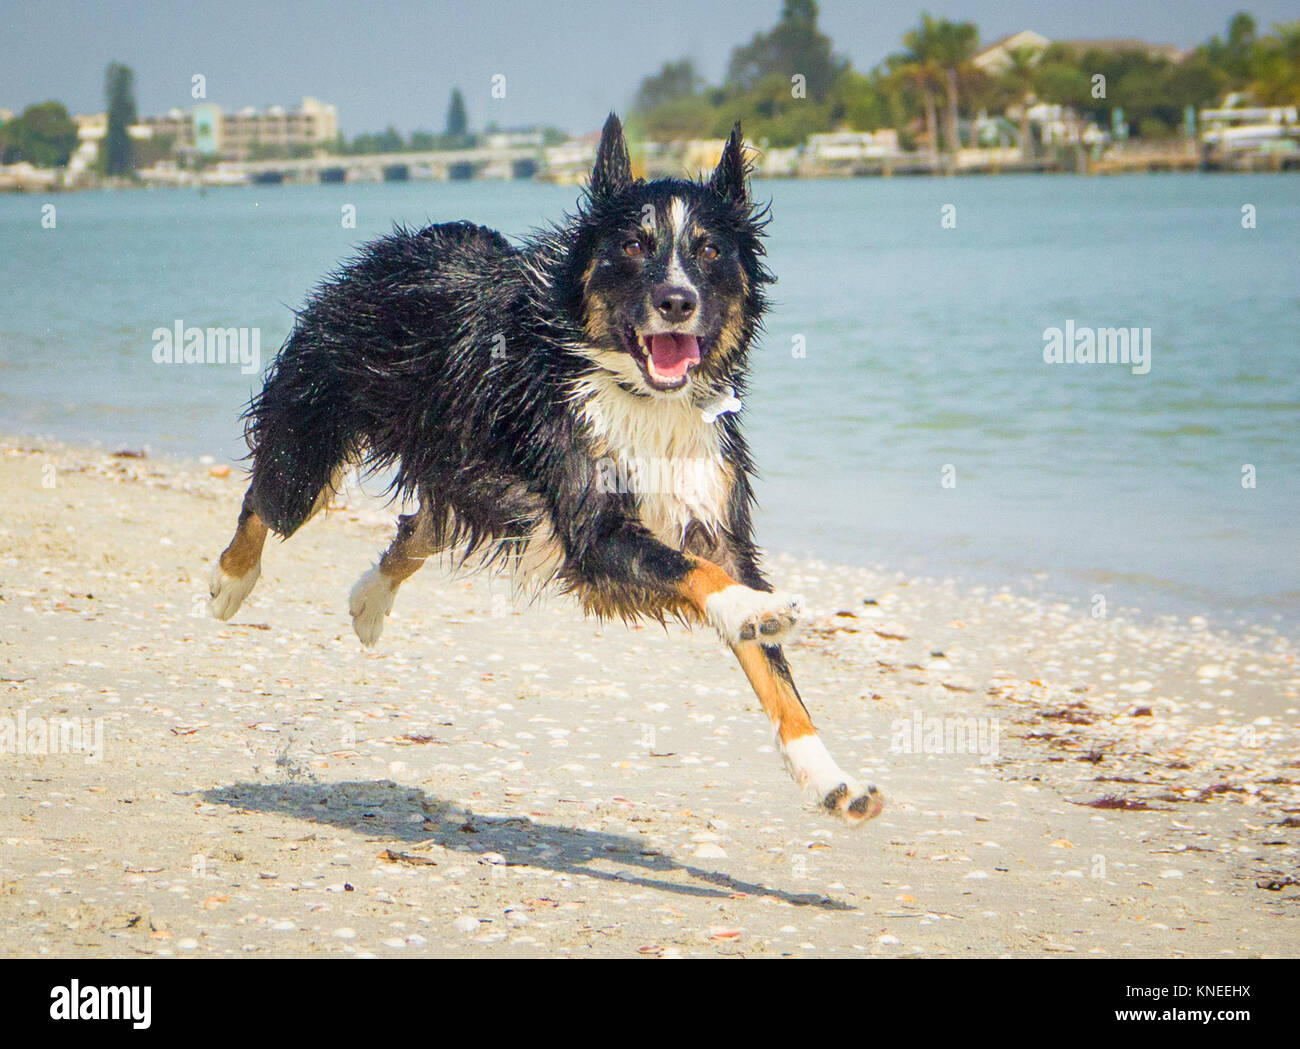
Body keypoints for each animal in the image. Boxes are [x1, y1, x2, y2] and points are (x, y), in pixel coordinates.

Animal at [210, 113, 883, 821]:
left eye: (708, 251)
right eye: (634, 246)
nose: (676, 301)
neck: (635, 393)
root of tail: (390, 248)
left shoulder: (713, 511)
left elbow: (772, 671)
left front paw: (830, 777)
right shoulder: (594, 529)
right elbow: (695, 573)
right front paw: (752, 609)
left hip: (474, 478)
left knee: (421, 527)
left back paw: (369, 602)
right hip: (315, 441)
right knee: (267, 499)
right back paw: (230, 583)